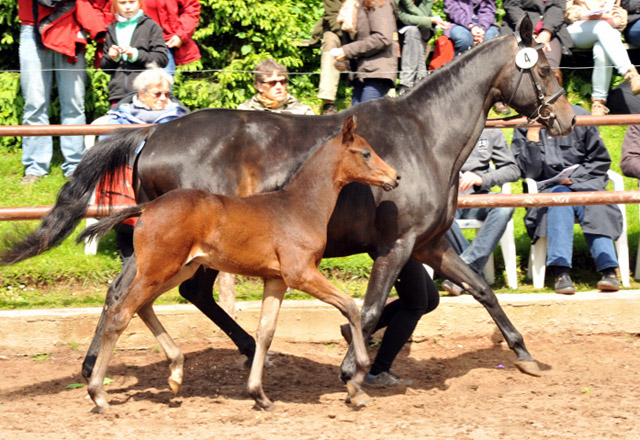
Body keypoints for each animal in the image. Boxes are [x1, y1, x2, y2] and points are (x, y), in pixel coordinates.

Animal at [79, 116, 400, 412]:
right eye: (366, 153)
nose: (395, 177)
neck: (301, 206)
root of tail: (147, 207)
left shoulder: (276, 280)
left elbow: (265, 332)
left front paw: (259, 395)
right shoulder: (300, 273)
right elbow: (350, 306)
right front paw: (356, 381)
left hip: (179, 269)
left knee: (143, 306)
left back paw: (176, 371)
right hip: (159, 268)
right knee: (121, 312)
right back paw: (98, 394)